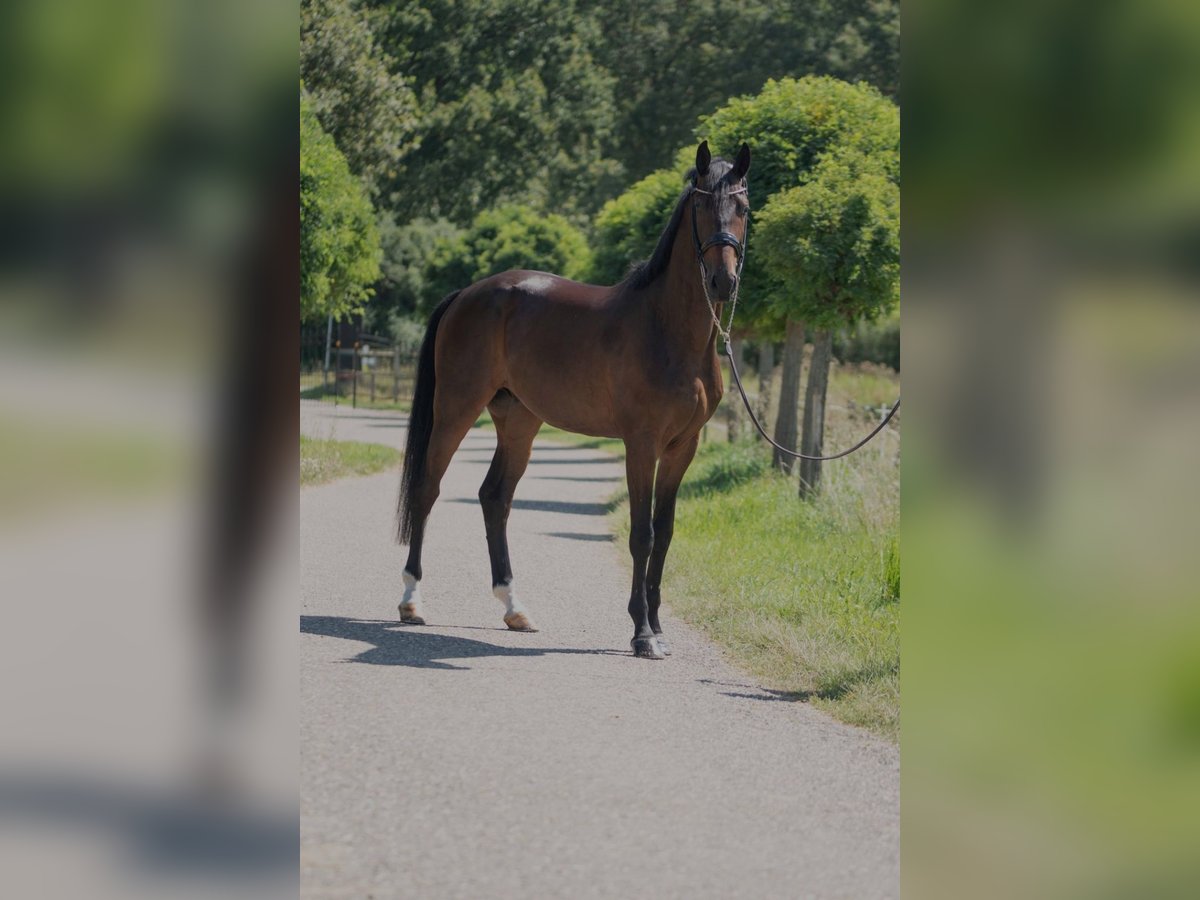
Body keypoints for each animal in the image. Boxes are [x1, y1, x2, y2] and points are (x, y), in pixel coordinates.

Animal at [398, 142, 744, 662]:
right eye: (702, 207)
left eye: (742, 207)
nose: (723, 281)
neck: (667, 330)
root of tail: (468, 294)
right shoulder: (641, 444)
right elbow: (641, 534)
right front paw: (642, 634)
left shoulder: (684, 447)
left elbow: (664, 534)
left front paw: (659, 630)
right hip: (455, 409)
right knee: (427, 489)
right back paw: (412, 601)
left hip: (519, 421)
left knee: (494, 497)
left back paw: (514, 608)